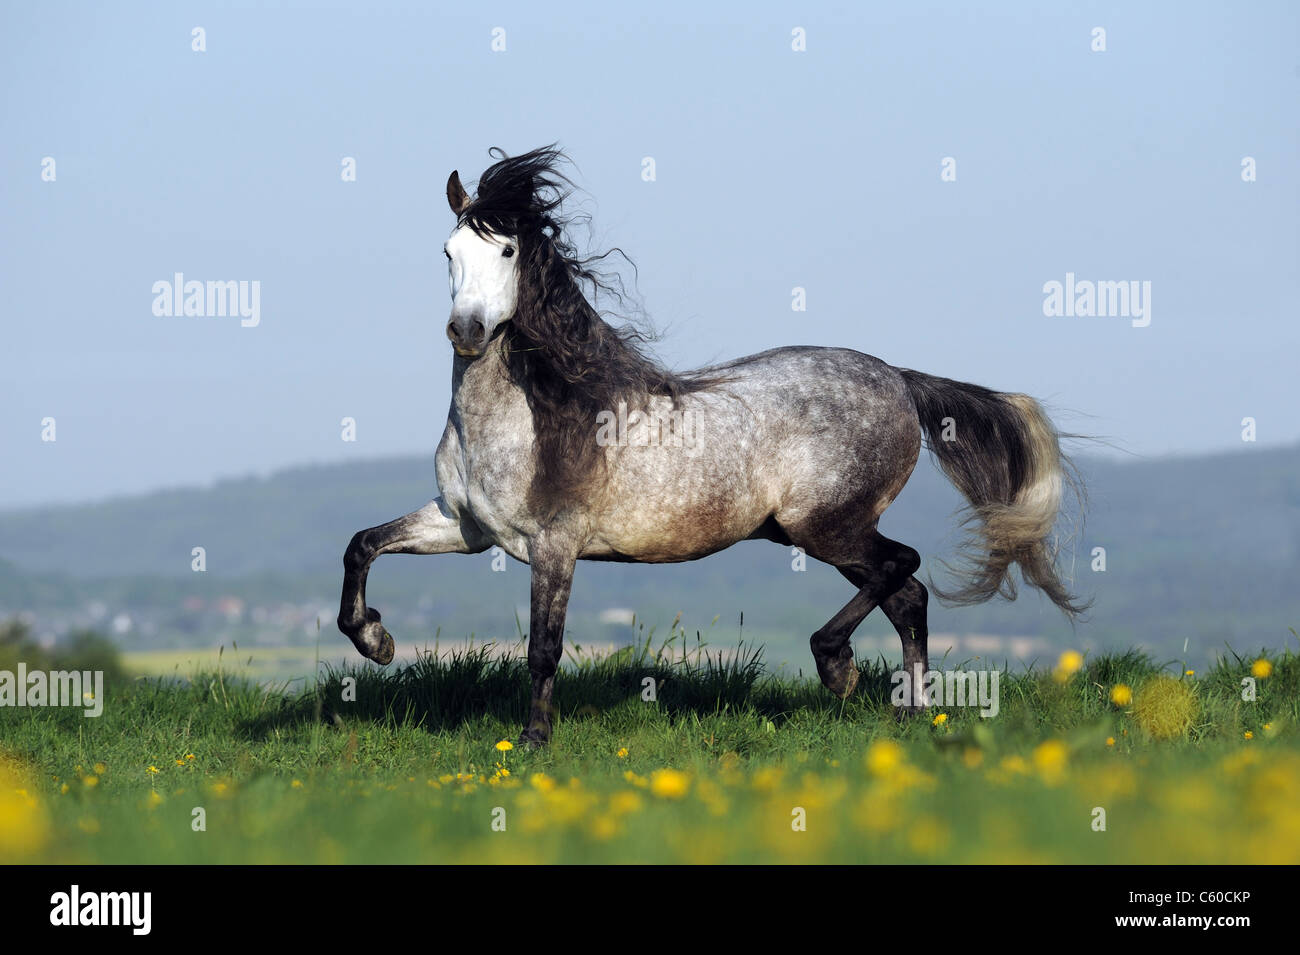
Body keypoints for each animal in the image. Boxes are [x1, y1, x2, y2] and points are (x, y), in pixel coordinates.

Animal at [338, 147, 1086, 748]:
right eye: (447, 253)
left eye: (507, 252)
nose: (466, 331)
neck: (530, 414)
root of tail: (899, 379)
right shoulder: (464, 527)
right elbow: (362, 544)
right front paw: (376, 640)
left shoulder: (555, 543)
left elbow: (543, 649)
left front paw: (532, 742)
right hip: (818, 531)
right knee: (908, 595)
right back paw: (912, 715)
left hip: (825, 524)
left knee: (903, 567)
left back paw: (838, 670)